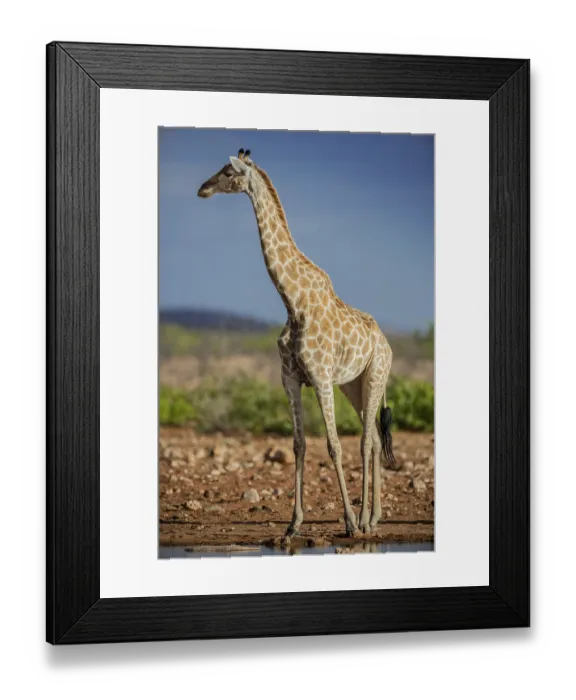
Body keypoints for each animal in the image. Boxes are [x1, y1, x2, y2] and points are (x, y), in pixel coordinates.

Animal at [198, 149, 396, 538]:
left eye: (228, 171)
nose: (203, 188)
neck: (293, 301)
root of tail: (386, 343)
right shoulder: (290, 378)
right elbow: (299, 444)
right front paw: (294, 524)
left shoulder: (320, 378)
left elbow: (333, 445)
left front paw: (348, 523)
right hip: (352, 385)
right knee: (375, 440)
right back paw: (373, 518)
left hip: (376, 376)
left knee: (366, 440)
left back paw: (364, 521)